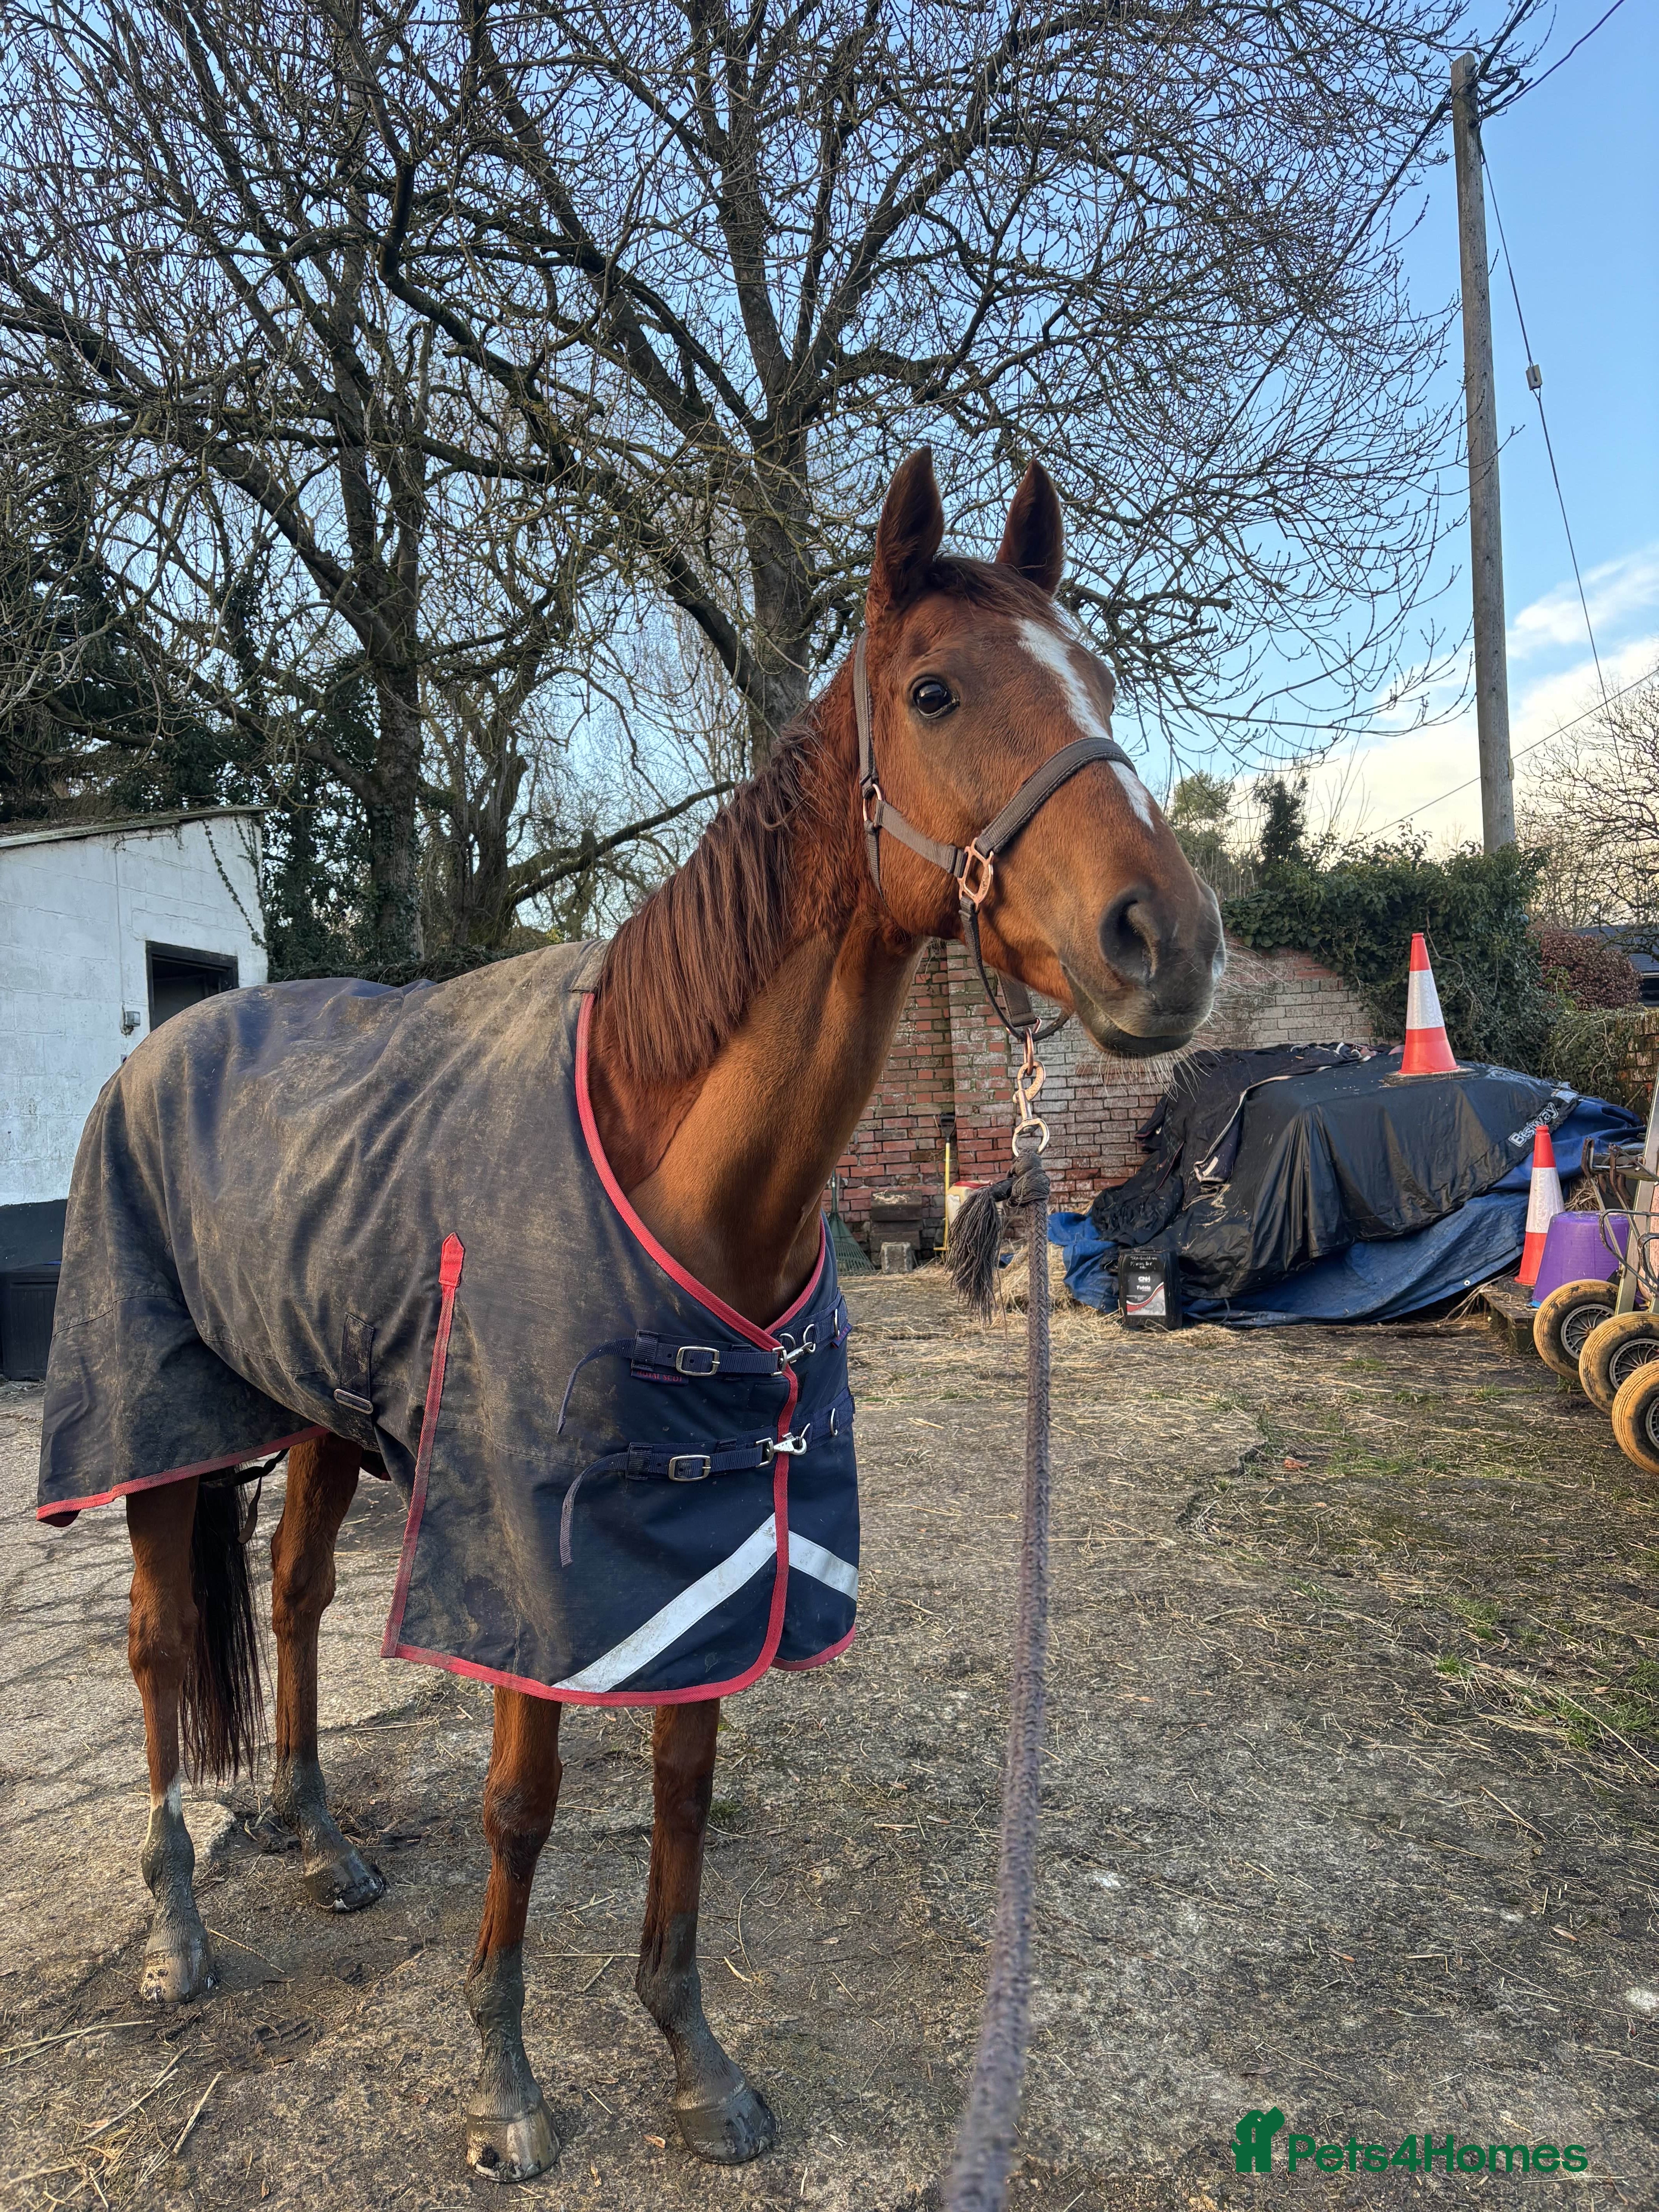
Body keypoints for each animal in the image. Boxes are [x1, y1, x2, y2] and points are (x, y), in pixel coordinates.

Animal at [42, 449, 1222, 2182]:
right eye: (933, 692)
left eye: (1104, 682)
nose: (1171, 942)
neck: (679, 1170)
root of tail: (164, 1046)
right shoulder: (533, 1563)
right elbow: (520, 1809)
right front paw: (506, 2086)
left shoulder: (711, 1540)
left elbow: (682, 1777)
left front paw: (694, 2062)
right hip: (151, 1431)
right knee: (153, 1647)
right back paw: (177, 1934)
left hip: (322, 1416)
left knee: (297, 1595)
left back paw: (321, 1843)